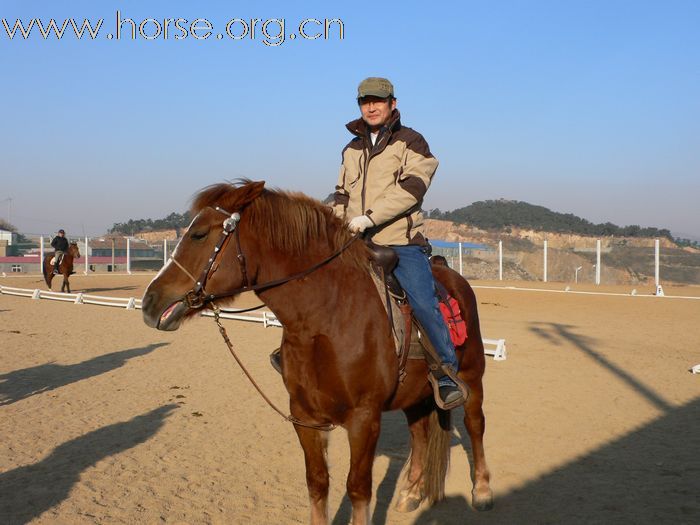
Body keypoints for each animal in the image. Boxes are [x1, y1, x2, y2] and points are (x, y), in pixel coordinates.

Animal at [141, 179, 492, 520]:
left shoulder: (364, 419)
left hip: (472, 377)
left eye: (199, 234)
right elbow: (318, 483)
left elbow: (358, 489)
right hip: (415, 393)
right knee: (419, 432)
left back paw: (482, 491)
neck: (328, 318)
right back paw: (412, 492)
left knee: (475, 424)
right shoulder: (305, 416)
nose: (149, 301)